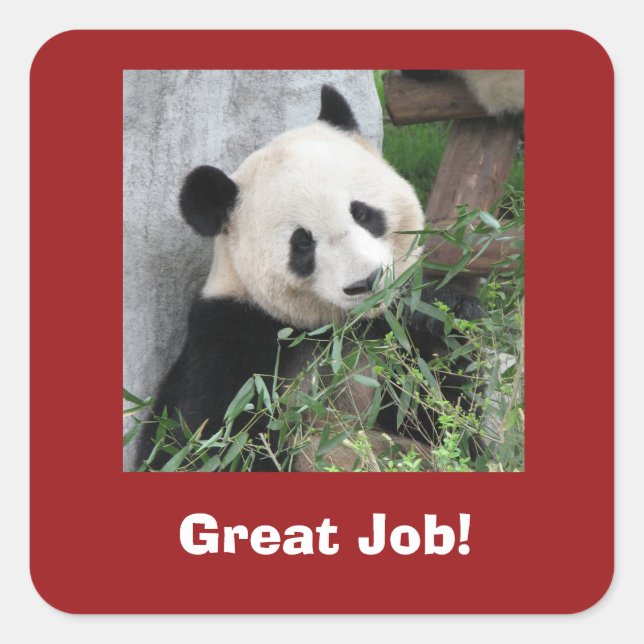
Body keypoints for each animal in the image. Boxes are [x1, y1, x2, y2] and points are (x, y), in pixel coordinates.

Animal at [136, 85, 483, 472]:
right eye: (302, 243)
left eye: (362, 213)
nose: (366, 282)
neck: (334, 331)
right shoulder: (229, 341)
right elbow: (205, 444)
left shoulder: (386, 338)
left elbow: (445, 421)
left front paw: (442, 315)